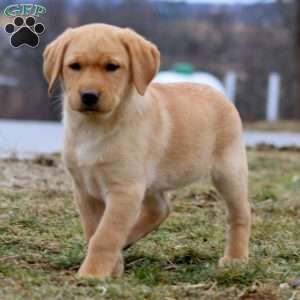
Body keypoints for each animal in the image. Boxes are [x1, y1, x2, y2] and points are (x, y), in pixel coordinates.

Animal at [43, 23, 252, 278]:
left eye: (112, 67)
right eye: (75, 66)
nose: (89, 96)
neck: (94, 127)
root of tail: (218, 93)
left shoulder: (125, 189)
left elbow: (105, 236)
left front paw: (92, 274)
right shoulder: (85, 190)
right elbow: (95, 231)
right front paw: (113, 268)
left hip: (229, 172)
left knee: (240, 214)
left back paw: (236, 259)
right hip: (151, 180)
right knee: (160, 209)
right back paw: (127, 242)